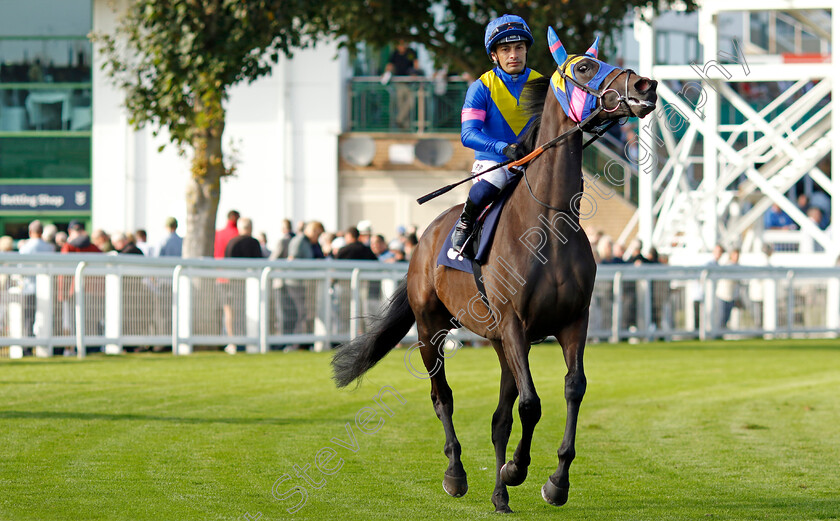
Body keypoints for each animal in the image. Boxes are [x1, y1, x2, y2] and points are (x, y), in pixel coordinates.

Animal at [332, 28, 660, 512]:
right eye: (584, 67)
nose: (646, 86)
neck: (548, 221)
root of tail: (424, 237)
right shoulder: (514, 324)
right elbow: (531, 404)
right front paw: (518, 469)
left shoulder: (571, 322)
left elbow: (571, 389)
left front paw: (554, 481)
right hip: (432, 328)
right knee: (442, 397)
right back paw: (456, 473)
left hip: (497, 342)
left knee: (498, 416)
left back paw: (500, 495)